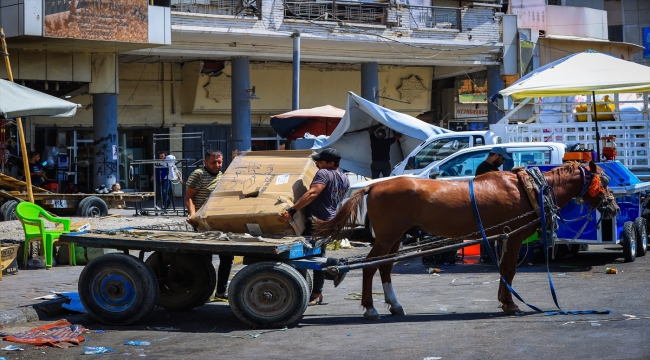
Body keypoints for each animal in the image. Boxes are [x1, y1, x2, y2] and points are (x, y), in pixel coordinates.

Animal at [312, 162, 616, 320]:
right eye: (604, 181)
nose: (613, 207)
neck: (529, 189)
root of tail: (372, 185)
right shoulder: (515, 233)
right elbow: (509, 269)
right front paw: (511, 305)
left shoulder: (503, 235)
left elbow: (503, 269)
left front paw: (504, 300)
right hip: (387, 235)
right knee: (371, 266)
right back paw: (370, 307)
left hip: (396, 236)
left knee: (385, 267)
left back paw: (394, 305)